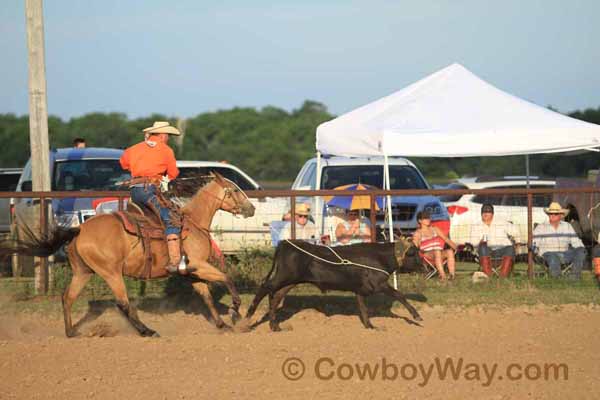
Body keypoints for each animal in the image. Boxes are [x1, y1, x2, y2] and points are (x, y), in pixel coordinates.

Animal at [0, 173, 253, 336]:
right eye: (235, 190)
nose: (251, 208)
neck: (192, 222)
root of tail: (79, 230)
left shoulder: (191, 272)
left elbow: (206, 296)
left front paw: (222, 325)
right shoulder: (199, 264)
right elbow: (226, 278)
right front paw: (235, 310)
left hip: (83, 272)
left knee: (68, 297)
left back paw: (71, 331)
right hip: (111, 273)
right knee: (122, 303)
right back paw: (147, 331)